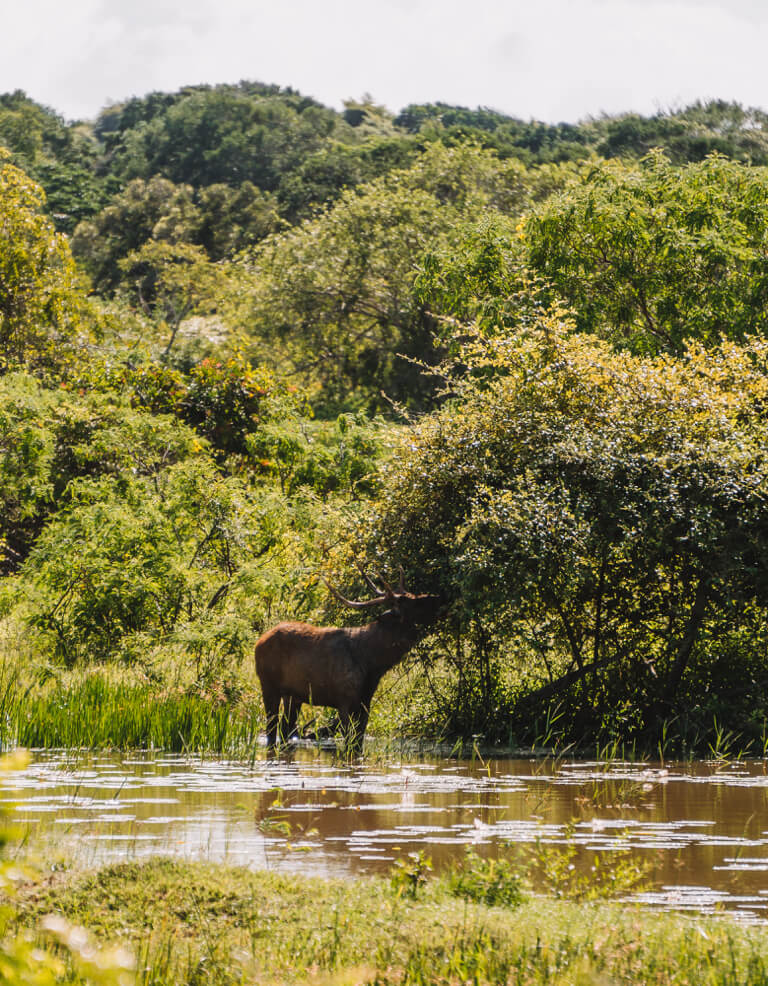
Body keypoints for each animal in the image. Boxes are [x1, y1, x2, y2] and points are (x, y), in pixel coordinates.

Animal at [254, 568, 440, 752]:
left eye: (414, 595)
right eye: (414, 603)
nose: (437, 598)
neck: (373, 664)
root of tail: (258, 642)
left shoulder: (365, 702)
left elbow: (358, 743)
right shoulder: (344, 700)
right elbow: (349, 743)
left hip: (293, 696)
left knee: (284, 730)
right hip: (268, 685)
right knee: (272, 729)